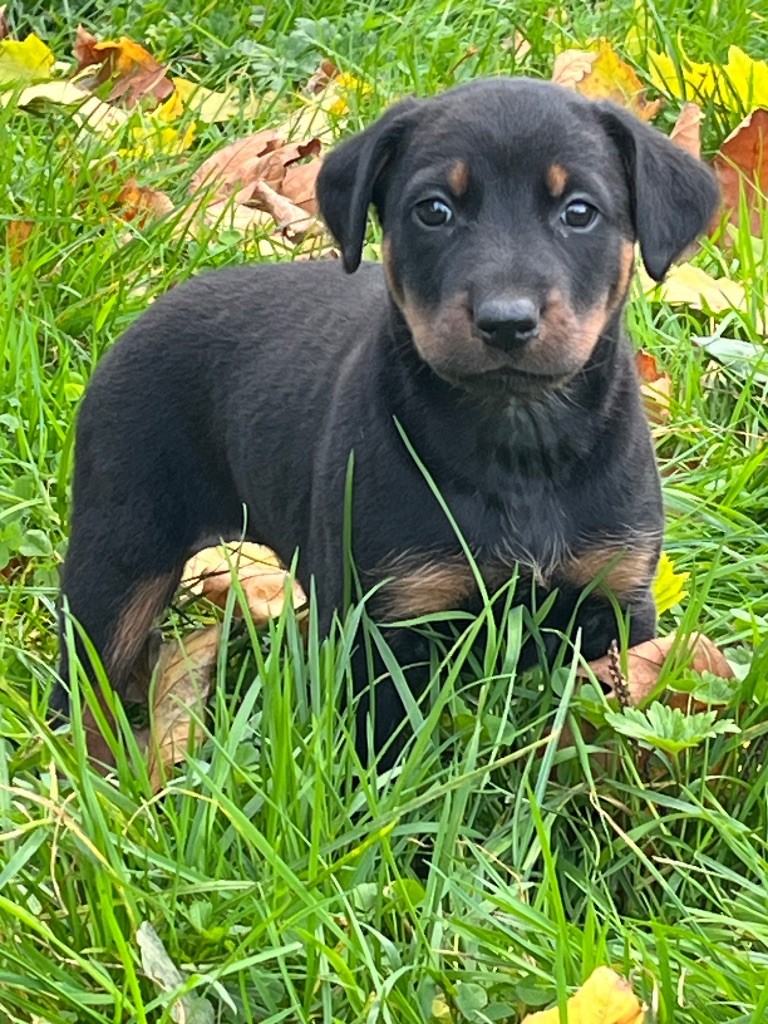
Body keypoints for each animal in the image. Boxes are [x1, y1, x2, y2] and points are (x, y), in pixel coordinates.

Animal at [55, 77, 720, 761]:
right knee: (83, 673)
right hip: (120, 550)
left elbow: (610, 722)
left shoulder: (616, 599)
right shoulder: (384, 618)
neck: (516, 446)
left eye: (580, 212)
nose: (506, 321)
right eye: (434, 210)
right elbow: (388, 754)